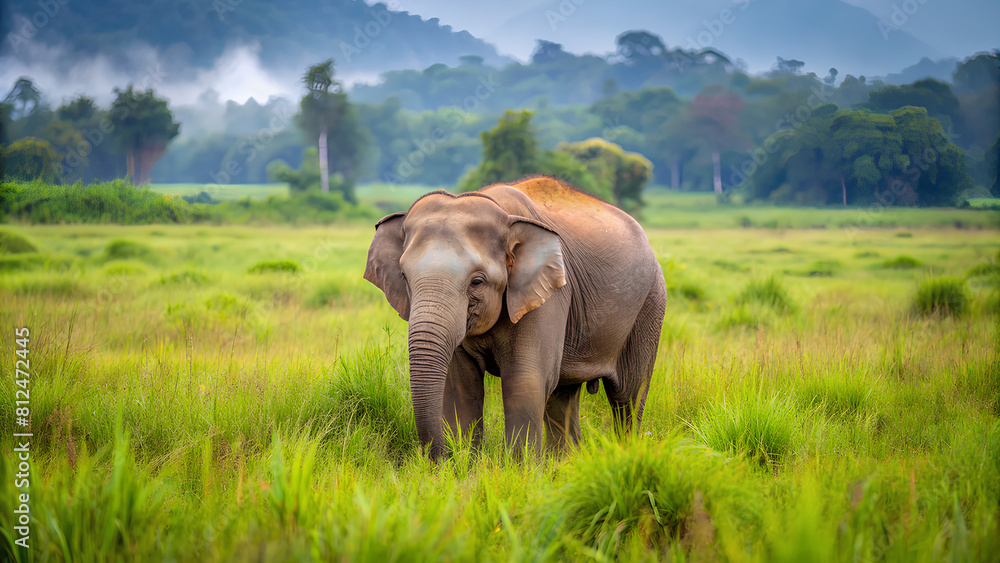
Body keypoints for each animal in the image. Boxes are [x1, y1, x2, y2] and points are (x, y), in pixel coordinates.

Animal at [364, 175, 666, 459]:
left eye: (477, 282)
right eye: (404, 277)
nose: (438, 459)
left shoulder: (549, 294)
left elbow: (524, 382)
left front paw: (518, 471)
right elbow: (461, 388)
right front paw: (465, 468)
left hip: (650, 304)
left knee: (627, 395)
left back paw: (626, 451)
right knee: (563, 396)